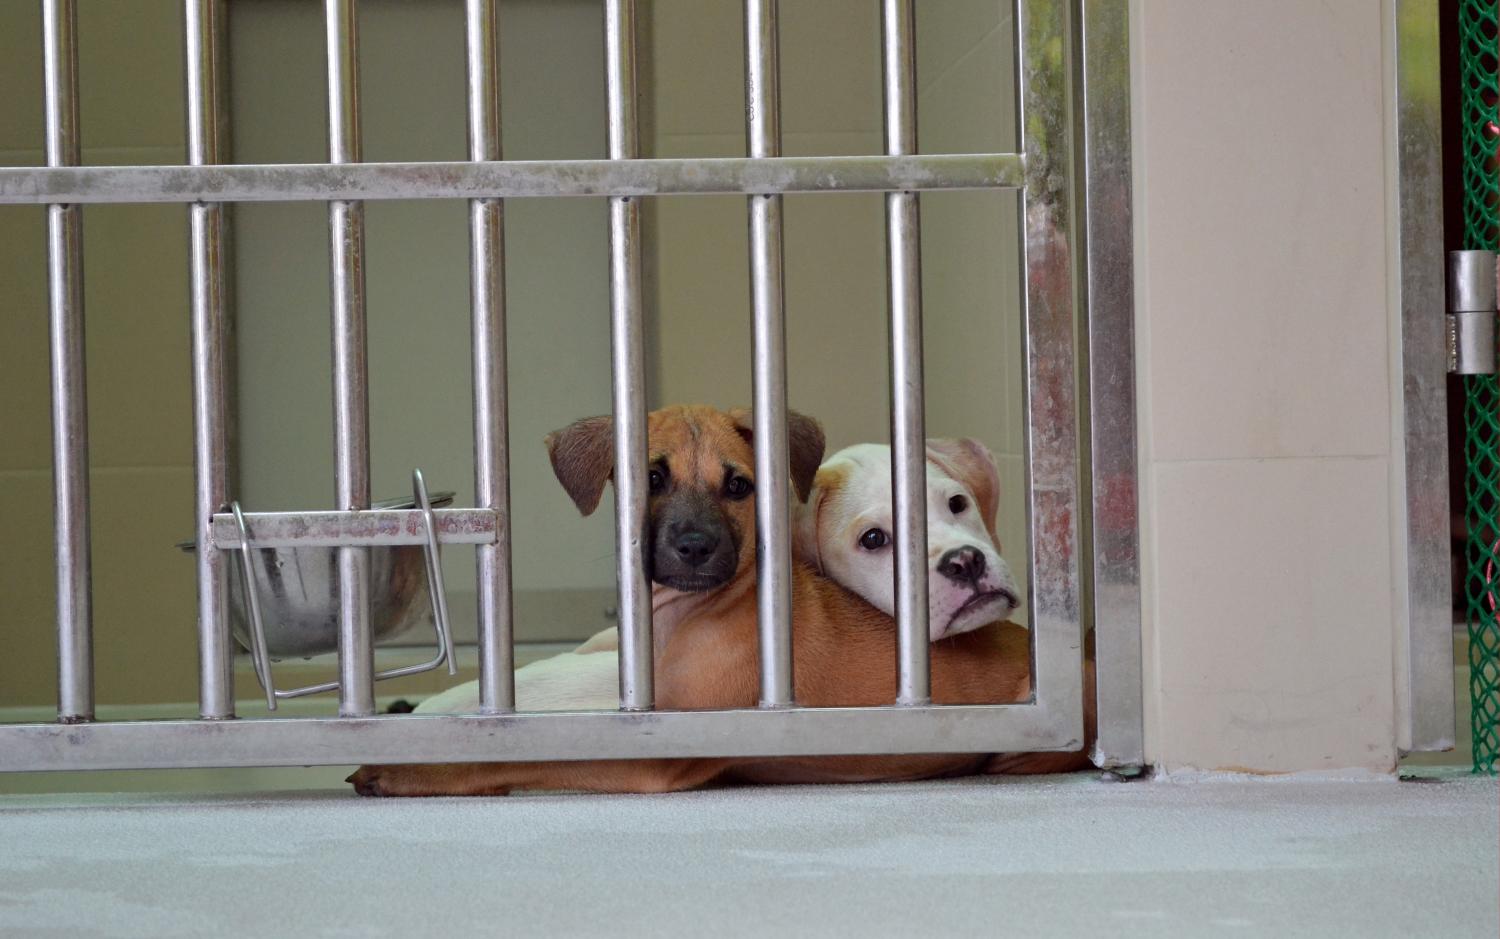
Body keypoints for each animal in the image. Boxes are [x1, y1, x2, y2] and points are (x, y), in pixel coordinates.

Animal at [349, 406, 1081, 797]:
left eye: (739, 486)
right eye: (649, 479)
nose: (695, 546)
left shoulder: (657, 744)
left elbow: (525, 752)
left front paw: (406, 766)